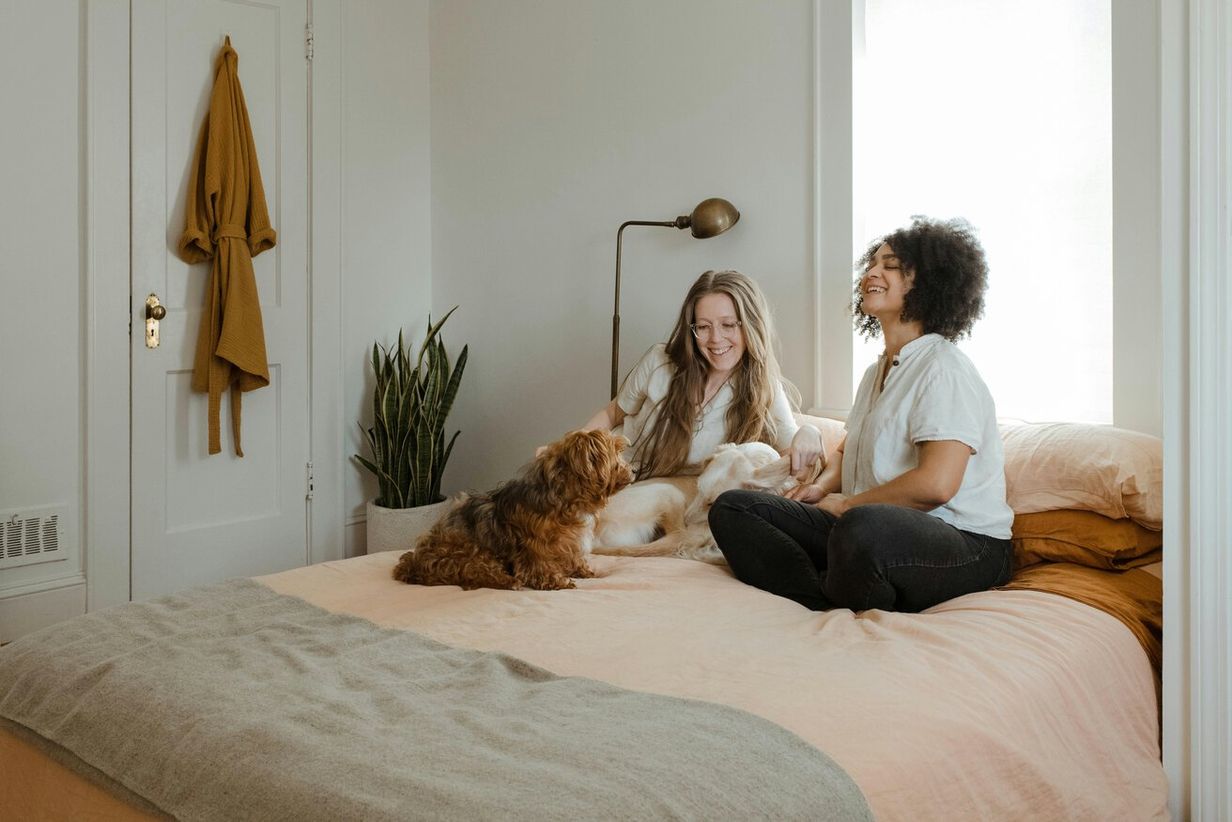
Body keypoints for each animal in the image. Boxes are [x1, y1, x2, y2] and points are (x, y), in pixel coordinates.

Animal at [389, 431, 630, 591]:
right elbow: (539, 564)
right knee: (477, 573)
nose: (633, 469)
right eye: (616, 455)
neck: (565, 499)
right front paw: (556, 581)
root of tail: (414, 564)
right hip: (470, 552)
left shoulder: (567, 543)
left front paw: (583, 571)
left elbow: (572, 558)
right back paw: (509, 580)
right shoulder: (534, 546)